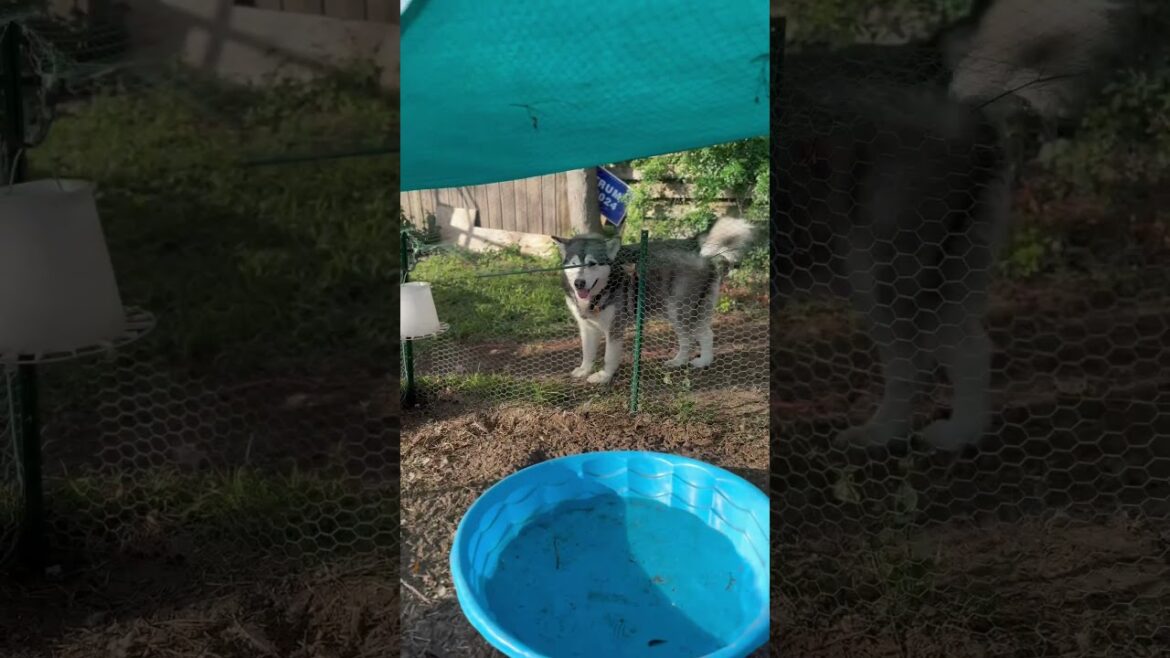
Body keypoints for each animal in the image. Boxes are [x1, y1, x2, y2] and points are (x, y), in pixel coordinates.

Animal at [552, 217, 756, 385]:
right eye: (574, 264)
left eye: (592, 263)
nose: (579, 283)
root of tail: (695, 246)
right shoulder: (587, 327)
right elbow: (587, 352)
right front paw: (584, 370)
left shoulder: (614, 328)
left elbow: (609, 356)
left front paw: (604, 376)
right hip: (682, 312)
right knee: (699, 336)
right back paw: (688, 361)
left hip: (681, 310)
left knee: (696, 336)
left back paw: (698, 361)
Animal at [776, 0, 1137, 450]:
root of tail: (927, 57)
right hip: (938, 263)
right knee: (970, 348)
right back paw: (960, 434)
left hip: (882, 264)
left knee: (912, 363)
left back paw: (881, 433)